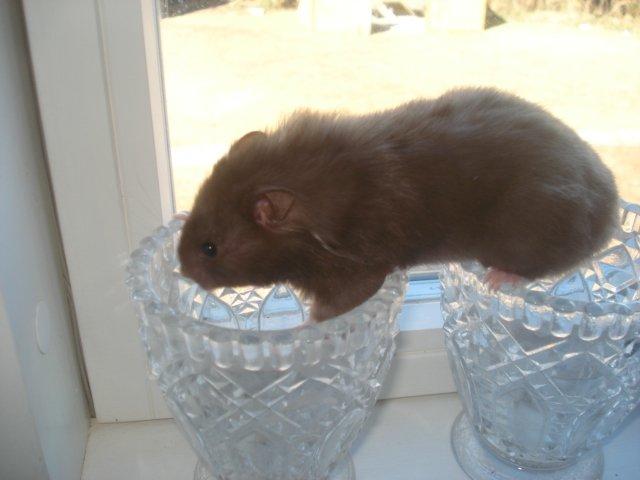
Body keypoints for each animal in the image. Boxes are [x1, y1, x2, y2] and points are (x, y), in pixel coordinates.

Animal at [178, 87, 618, 321]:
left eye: (210, 248)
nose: (181, 269)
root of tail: (609, 198)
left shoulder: (358, 269)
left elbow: (335, 306)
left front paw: (306, 327)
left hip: (529, 230)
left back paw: (499, 278)